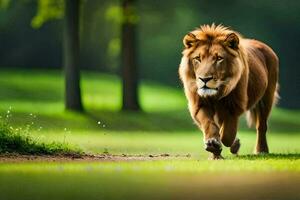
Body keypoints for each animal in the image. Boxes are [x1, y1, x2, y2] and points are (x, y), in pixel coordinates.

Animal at [178, 24, 278, 159]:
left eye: (219, 58)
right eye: (198, 58)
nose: (204, 79)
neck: (217, 93)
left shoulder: (233, 106)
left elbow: (227, 133)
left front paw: (228, 143)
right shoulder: (199, 105)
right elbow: (209, 124)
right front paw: (213, 145)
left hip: (267, 98)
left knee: (261, 126)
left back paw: (261, 150)